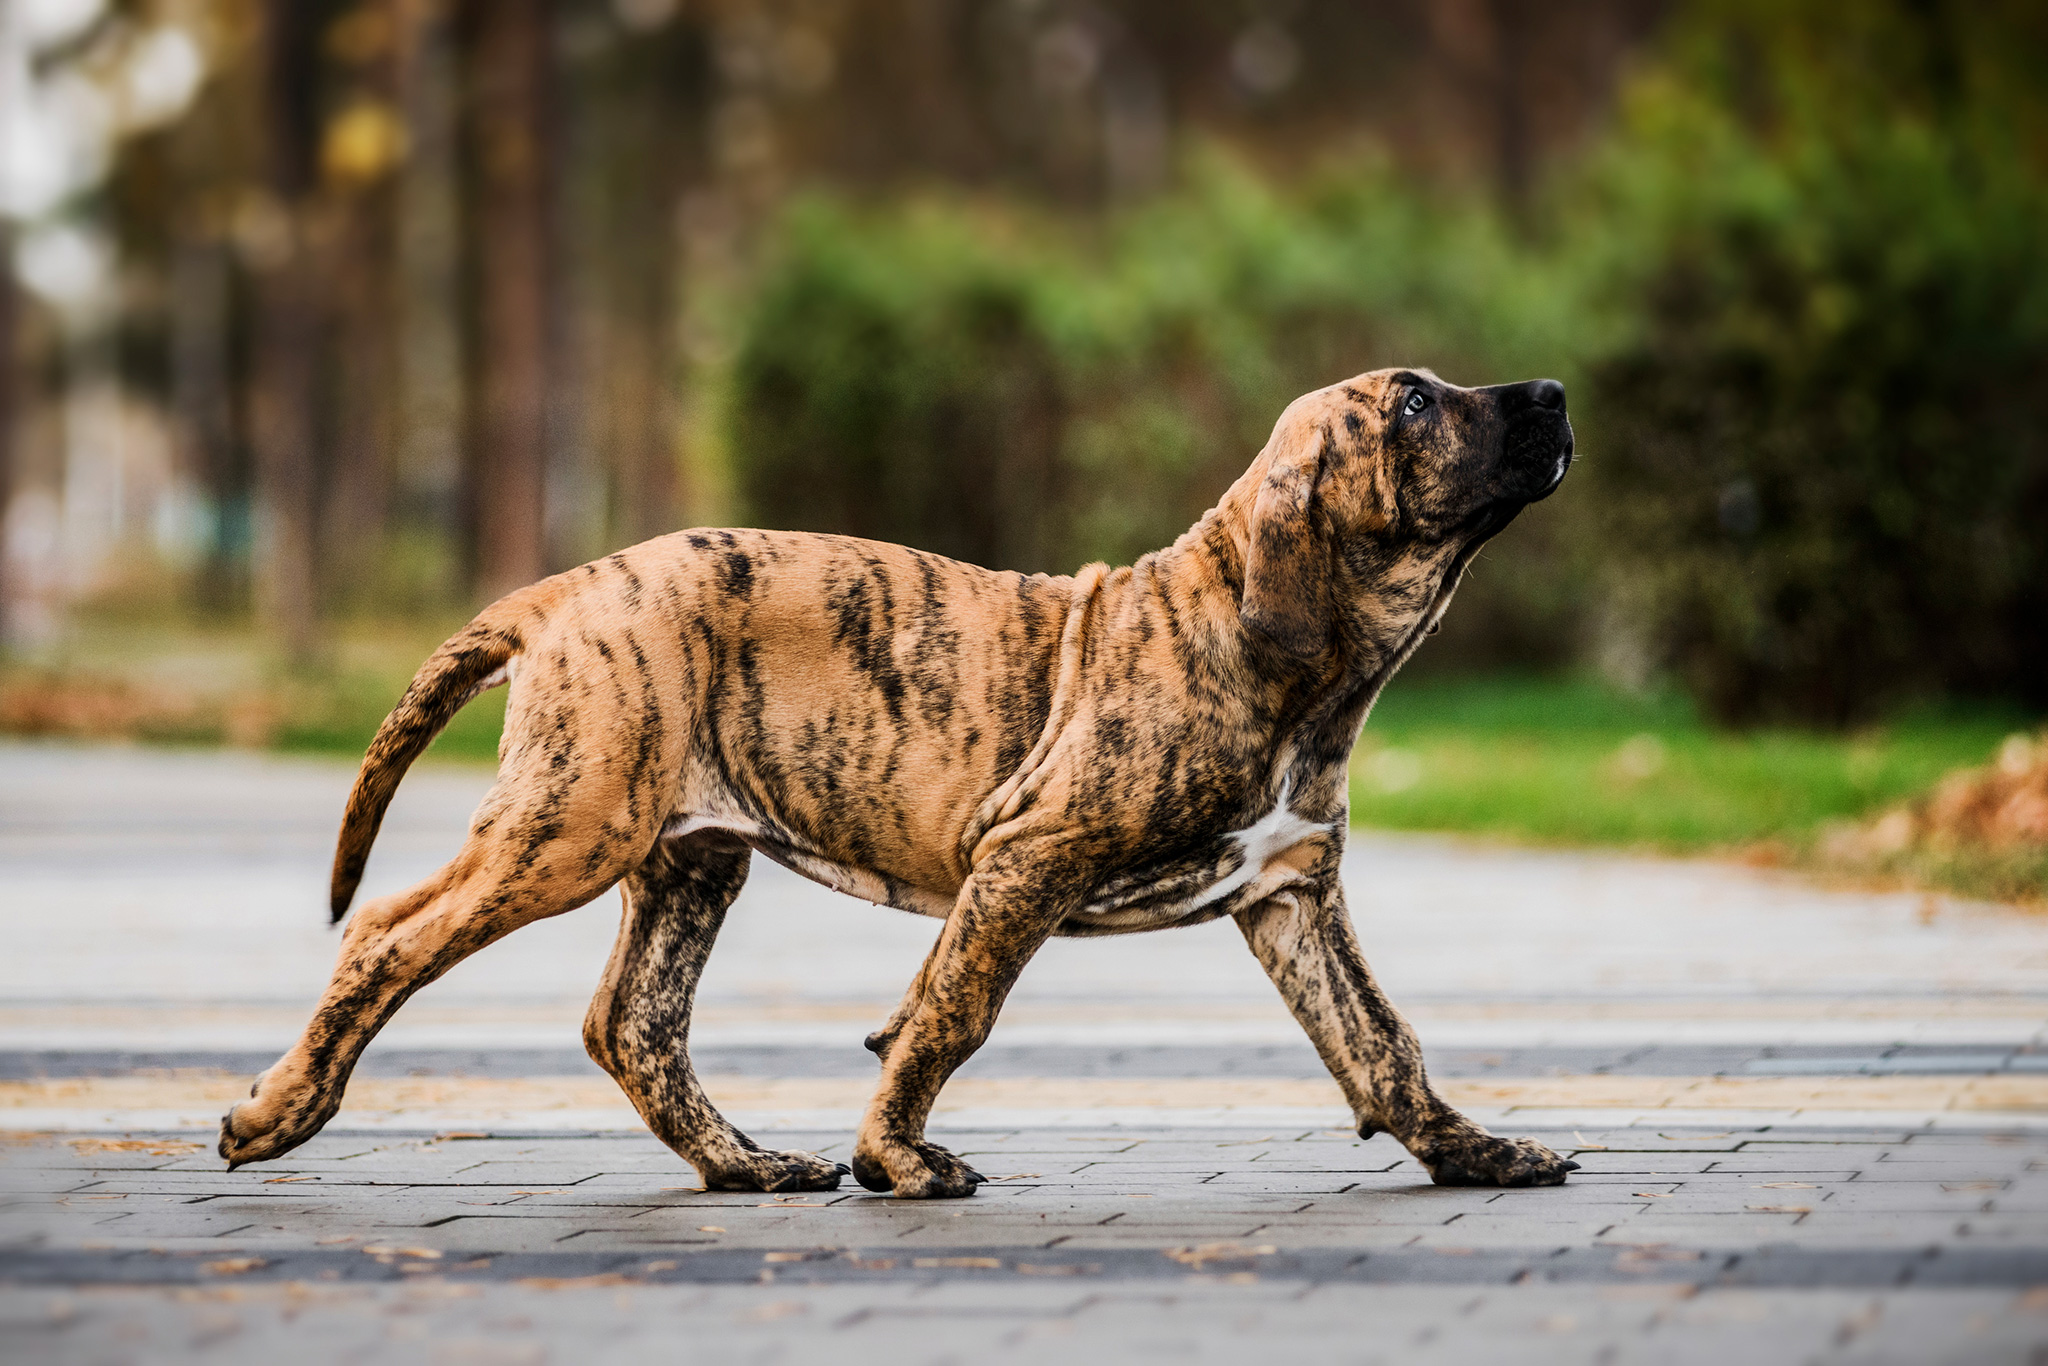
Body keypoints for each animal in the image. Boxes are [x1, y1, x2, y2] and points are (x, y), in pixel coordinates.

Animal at [220, 362, 1581, 1196]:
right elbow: (950, 1013)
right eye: (1412, 406)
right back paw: (281, 1109)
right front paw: (899, 1159)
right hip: (571, 826)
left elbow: (1380, 1039)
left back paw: (744, 1165)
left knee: (633, 1021)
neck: (1297, 663)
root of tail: (569, 588)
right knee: (390, 933)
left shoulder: (1291, 891)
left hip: (686, 857)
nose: (1557, 393)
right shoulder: (1028, 855)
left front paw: (1471, 1150)